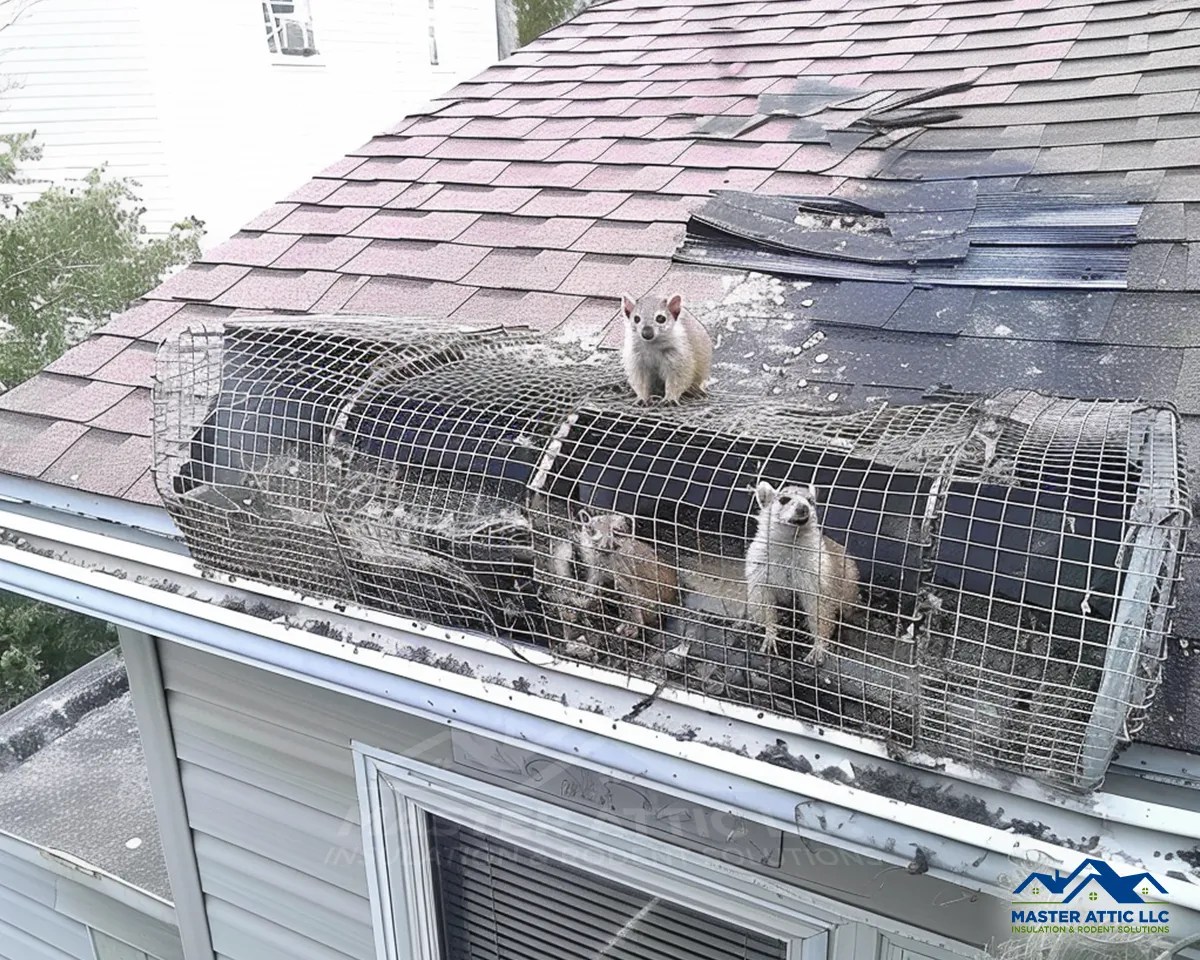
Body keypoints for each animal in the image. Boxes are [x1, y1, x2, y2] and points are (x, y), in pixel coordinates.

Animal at [576, 510, 679, 639]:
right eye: (592, 528)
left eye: (616, 531)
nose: (605, 544)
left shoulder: (618, 565)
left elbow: (629, 590)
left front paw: (634, 626)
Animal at [744, 481, 860, 666]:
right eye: (784, 499)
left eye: (810, 500)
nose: (803, 507)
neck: (790, 541)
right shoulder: (759, 564)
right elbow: (763, 600)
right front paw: (770, 632)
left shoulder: (817, 570)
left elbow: (819, 607)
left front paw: (819, 644)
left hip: (849, 582)